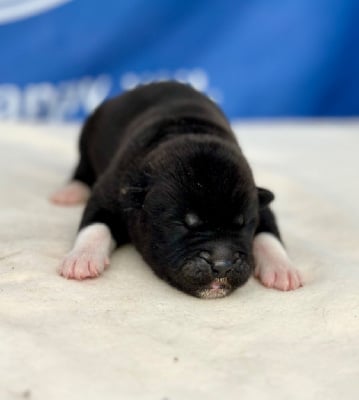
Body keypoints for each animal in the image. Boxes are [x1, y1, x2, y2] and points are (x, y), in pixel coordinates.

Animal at [51, 81, 304, 298]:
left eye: (243, 225)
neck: (188, 130)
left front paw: (282, 268)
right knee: (82, 168)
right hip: (86, 137)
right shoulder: (113, 189)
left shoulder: (260, 201)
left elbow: (269, 233)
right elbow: (95, 224)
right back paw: (71, 191)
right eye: (183, 224)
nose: (222, 265)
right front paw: (82, 258)